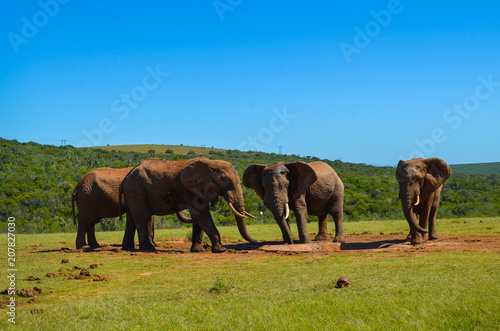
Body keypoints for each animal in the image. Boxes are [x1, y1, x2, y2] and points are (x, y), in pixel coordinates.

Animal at [118, 157, 256, 253]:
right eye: (224, 180)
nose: (255, 241)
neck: (211, 164)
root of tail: (126, 177)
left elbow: (198, 217)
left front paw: (198, 250)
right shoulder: (191, 189)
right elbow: (201, 215)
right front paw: (221, 250)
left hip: (133, 191)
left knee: (132, 219)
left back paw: (129, 248)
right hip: (137, 189)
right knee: (142, 217)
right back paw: (148, 249)